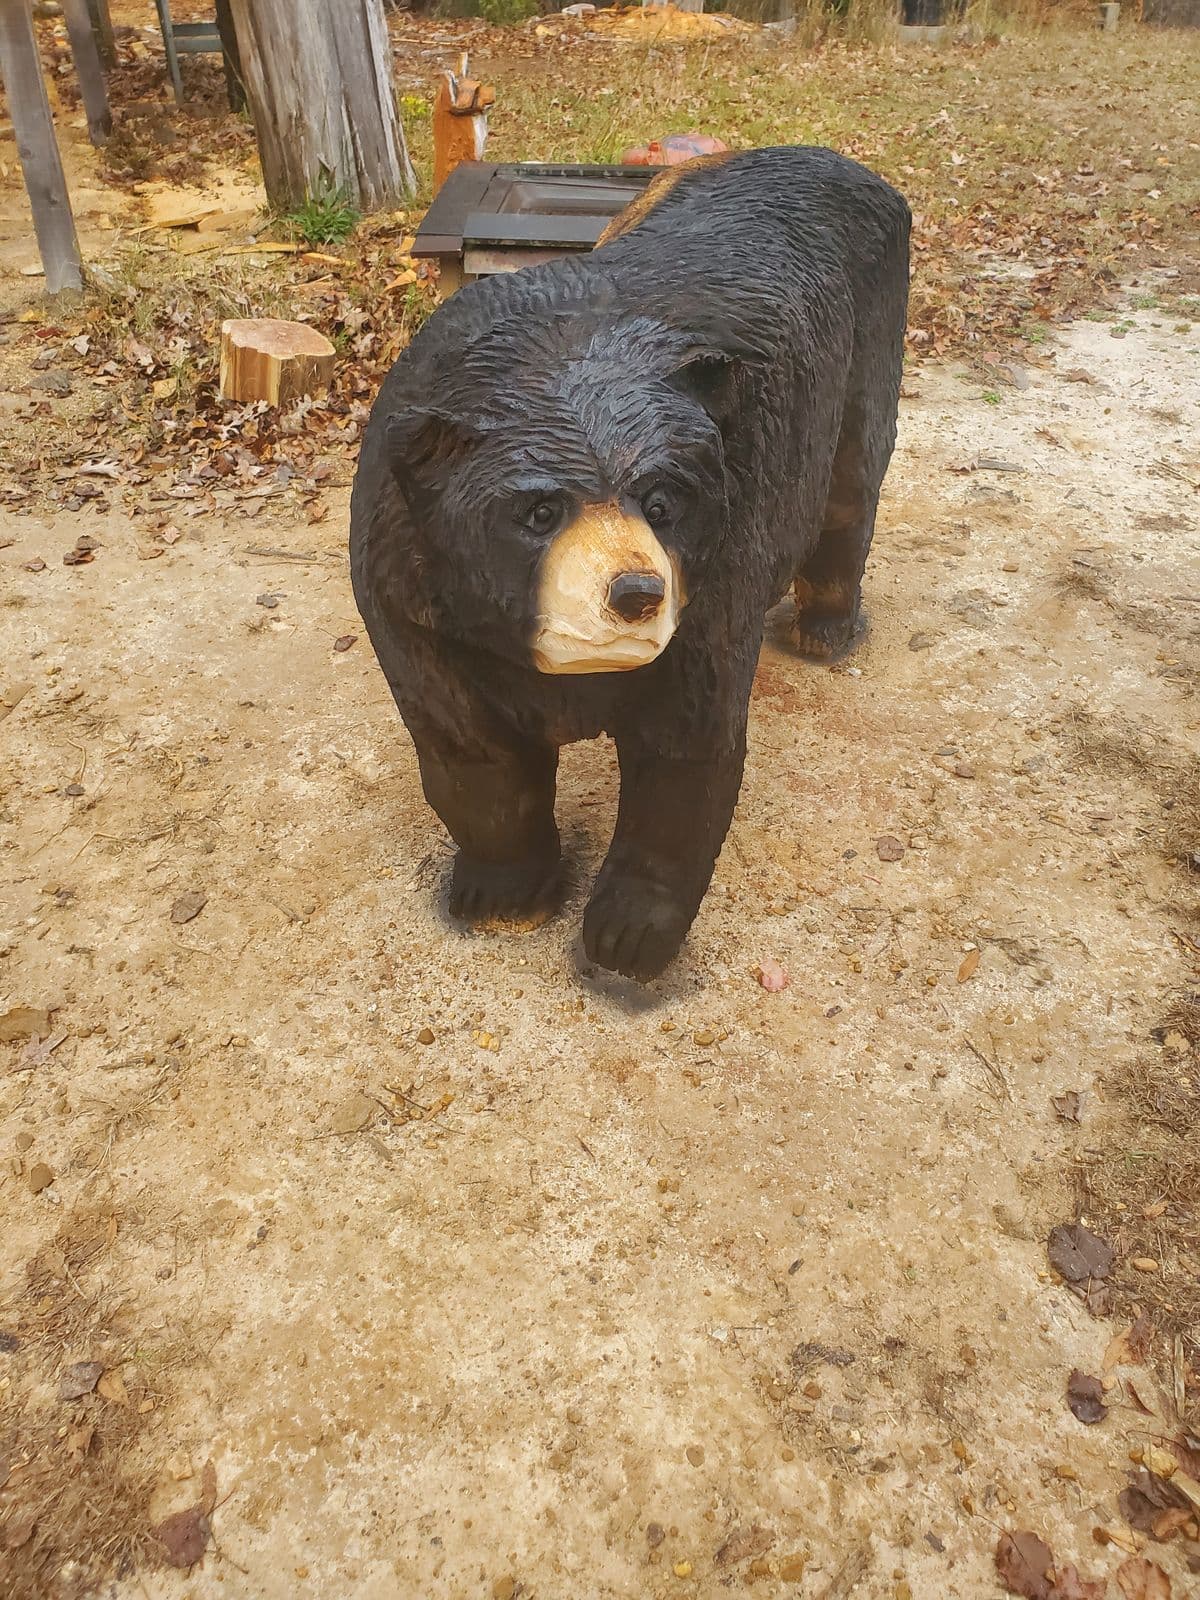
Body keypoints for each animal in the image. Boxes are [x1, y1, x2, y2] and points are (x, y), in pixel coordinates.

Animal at [350, 146, 910, 981]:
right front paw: (499, 896)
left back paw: (824, 629)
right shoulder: (412, 598)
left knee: (849, 488)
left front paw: (628, 935)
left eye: (662, 498)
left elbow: (684, 750)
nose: (636, 593)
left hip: (865, 341)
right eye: (539, 511)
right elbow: (470, 749)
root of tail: (844, 162)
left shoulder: (712, 574)